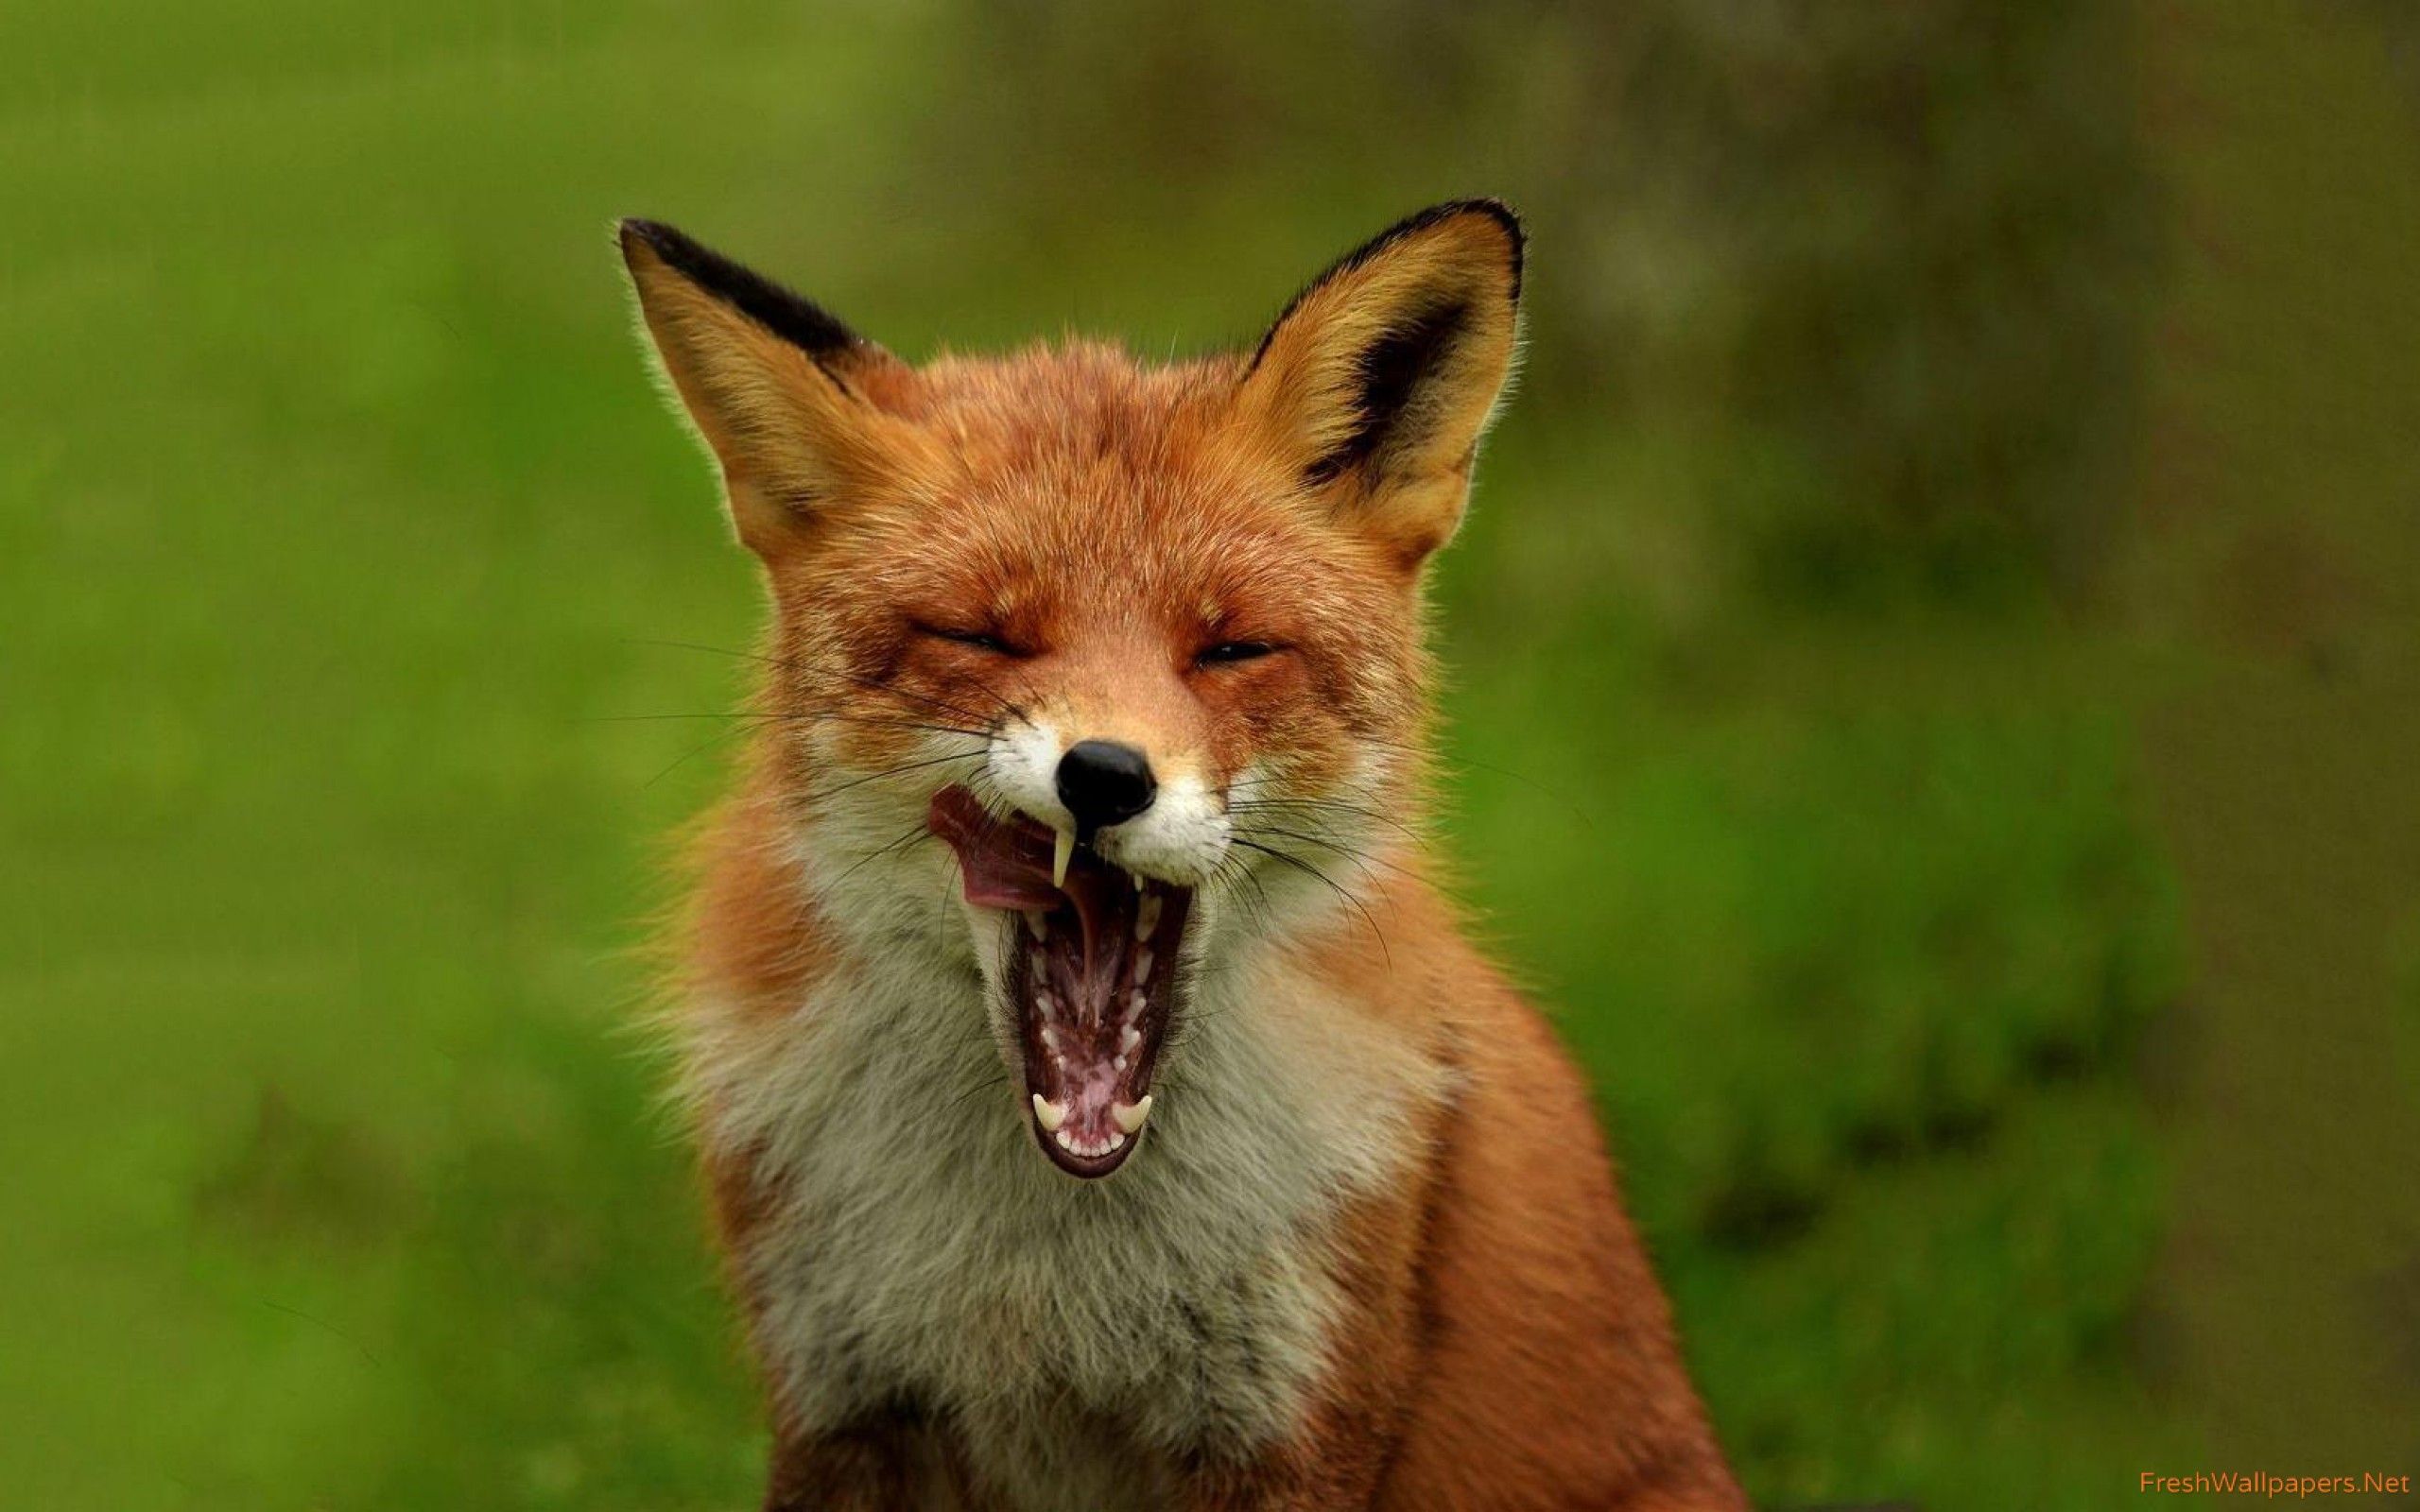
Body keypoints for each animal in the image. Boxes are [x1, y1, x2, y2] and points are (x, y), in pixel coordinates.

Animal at [616, 200, 1748, 1511]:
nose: (1104, 775)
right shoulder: (842, 1400)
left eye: (1231, 649)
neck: (1049, 1266)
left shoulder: (1289, 1419)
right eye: (981, 636)